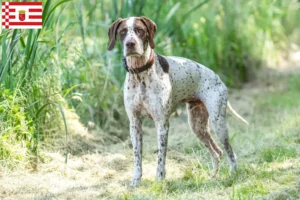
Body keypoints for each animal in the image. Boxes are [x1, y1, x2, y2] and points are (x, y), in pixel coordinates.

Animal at [108, 16, 248, 187]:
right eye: (123, 32)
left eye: (140, 30)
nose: (130, 44)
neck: (140, 73)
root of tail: (218, 78)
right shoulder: (135, 123)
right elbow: (137, 156)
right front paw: (136, 180)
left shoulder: (162, 124)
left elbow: (161, 158)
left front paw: (159, 180)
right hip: (198, 126)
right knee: (217, 152)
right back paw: (212, 177)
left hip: (219, 124)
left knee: (230, 151)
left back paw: (233, 174)